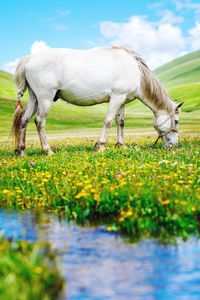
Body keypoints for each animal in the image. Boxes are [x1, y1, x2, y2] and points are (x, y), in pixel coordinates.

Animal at [11, 46, 182, 157]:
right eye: (177, 121)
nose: (173, 145)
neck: (136, 72)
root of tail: (29, 59)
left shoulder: (122, 100)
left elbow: (120, 122)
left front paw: (120, 145)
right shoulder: (117, 97)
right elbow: (108, 121)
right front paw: (100, 146)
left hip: (35, 98)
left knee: (24, 120)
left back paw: (21, 150)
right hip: (45, 98)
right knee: (39, 121)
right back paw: (47, 150)